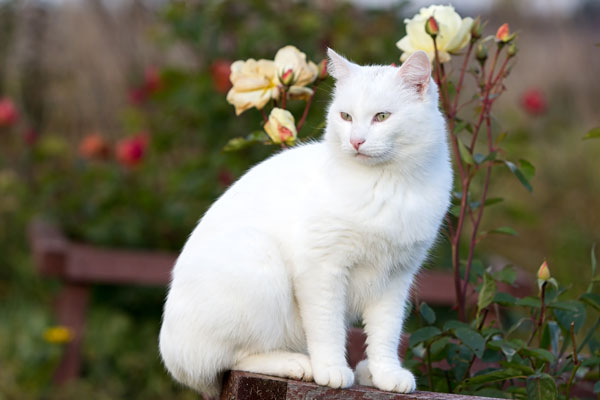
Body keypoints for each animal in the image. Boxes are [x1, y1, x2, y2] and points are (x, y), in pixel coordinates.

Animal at [158, 48, 450, 396]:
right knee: (233, 359)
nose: (356, 141)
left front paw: (385, 373)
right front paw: (332, 369)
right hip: (259, 261)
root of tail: (172, 356)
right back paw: (299, 364)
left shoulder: (395, 278)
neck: (386, 184)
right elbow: (327, 327)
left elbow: (386, 333)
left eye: (382, 117)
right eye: (346, 117)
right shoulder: (321, 270)